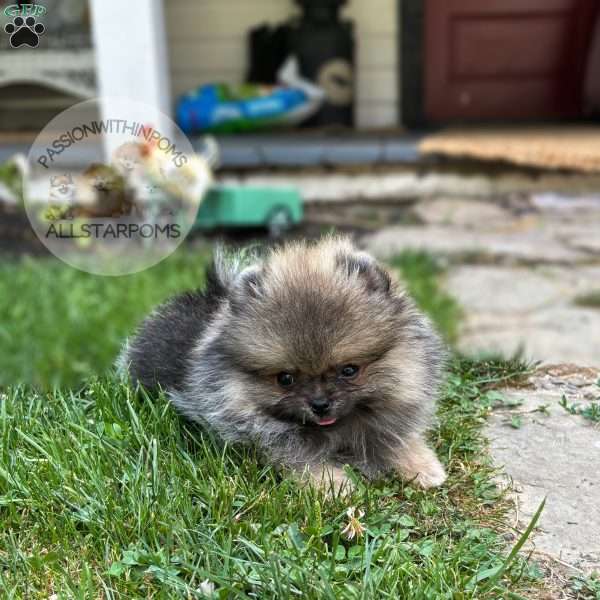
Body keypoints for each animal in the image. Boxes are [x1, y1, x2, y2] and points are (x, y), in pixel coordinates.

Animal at [118, 237, 446, 490]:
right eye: (285, 378)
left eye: (349, 370)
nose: (320, 404)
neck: (337, 430)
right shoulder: (264, 435)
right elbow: (301, 459)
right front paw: (334, 485)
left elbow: (397, 439)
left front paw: (422, 466)